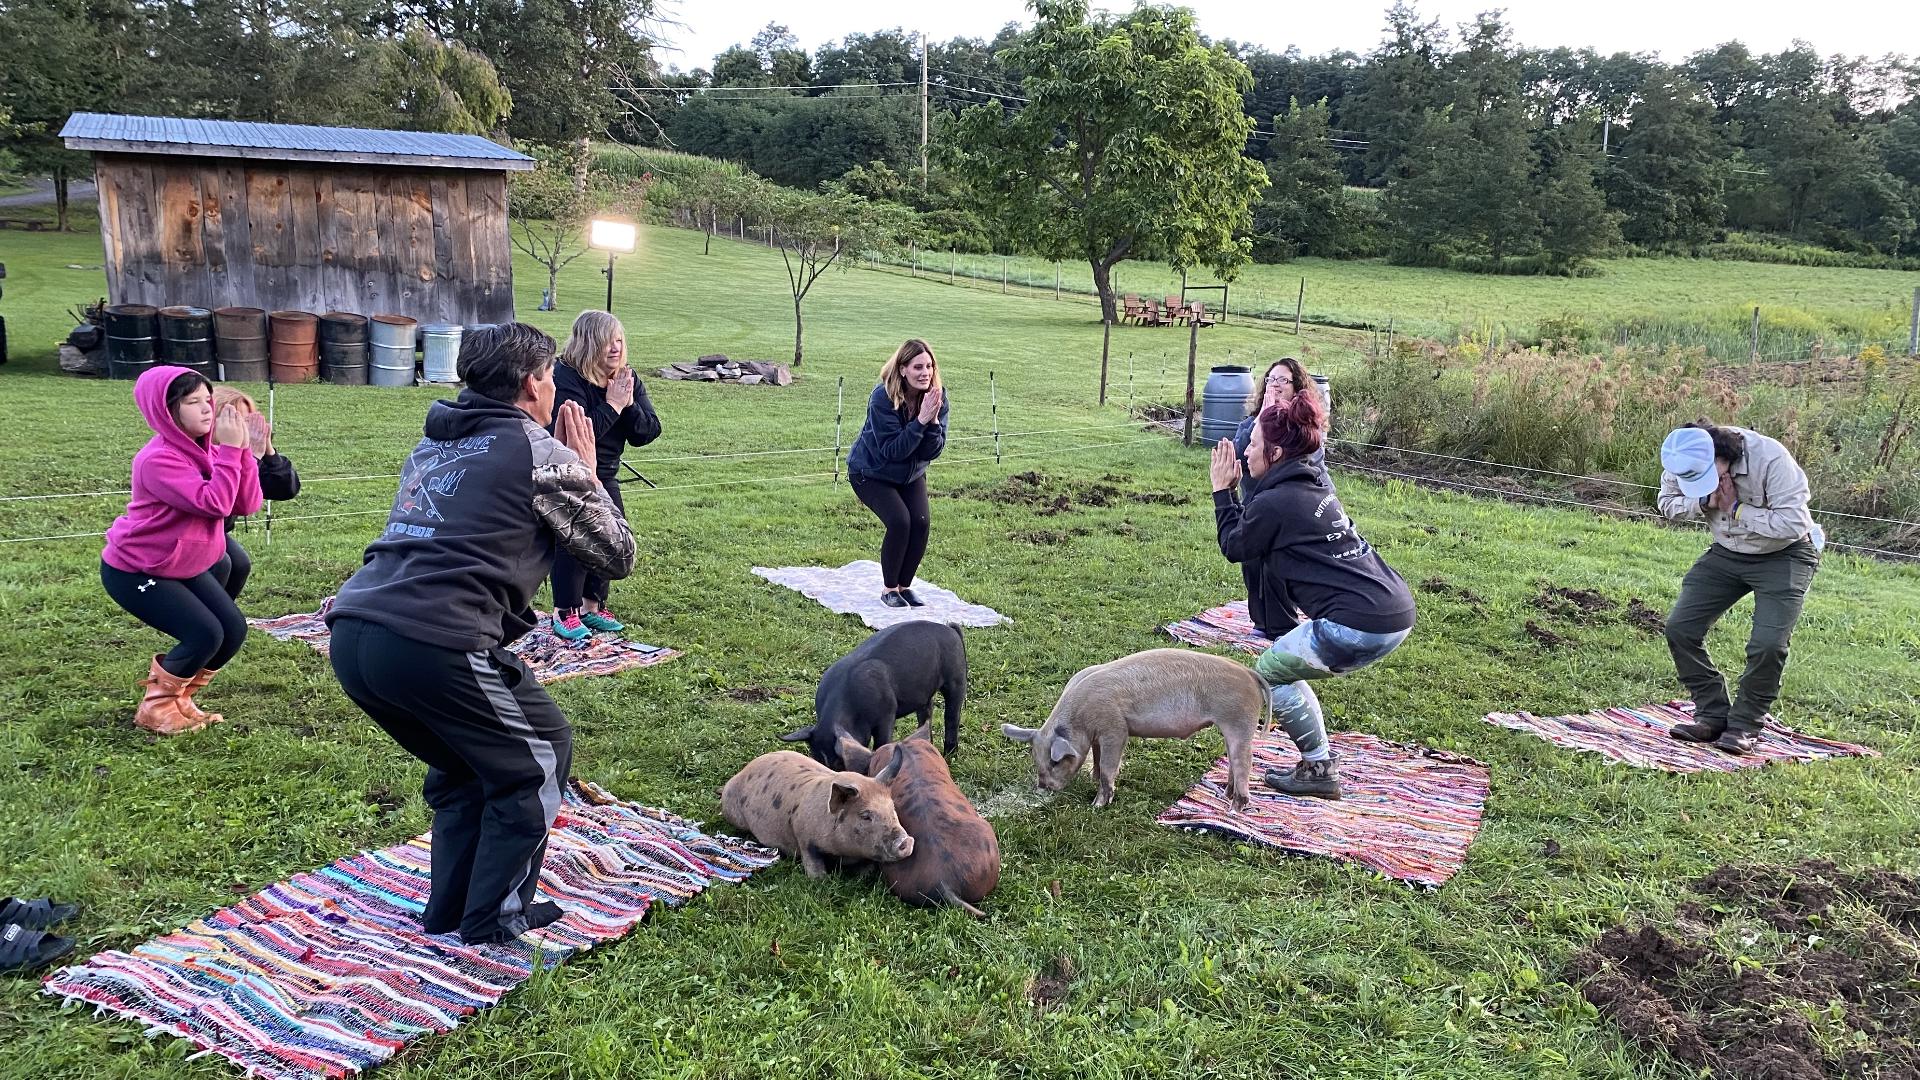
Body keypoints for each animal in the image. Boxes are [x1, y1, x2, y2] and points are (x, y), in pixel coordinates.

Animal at [721, 749, 913, 876]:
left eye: (892, 808)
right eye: (865, 816)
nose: (907, 841)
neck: (844, 853)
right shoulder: (804, 838)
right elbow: (814, 868)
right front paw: (822, 879)